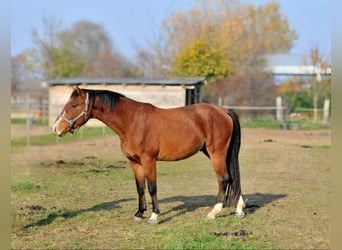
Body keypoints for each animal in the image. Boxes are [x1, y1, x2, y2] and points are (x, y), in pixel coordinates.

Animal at [52, 87, 246, 224]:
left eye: (74, 105)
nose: (56, 128)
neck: (132, 121)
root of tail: (223, 111)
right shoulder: (135, 162)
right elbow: (140, 187)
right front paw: (139, 213)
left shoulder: (149, 160)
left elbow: (152, 187)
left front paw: (154, 216)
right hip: (216, 153)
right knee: (233, 178)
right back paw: (239, 209)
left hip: (216, 153)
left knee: (224, 179)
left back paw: (214, 212)